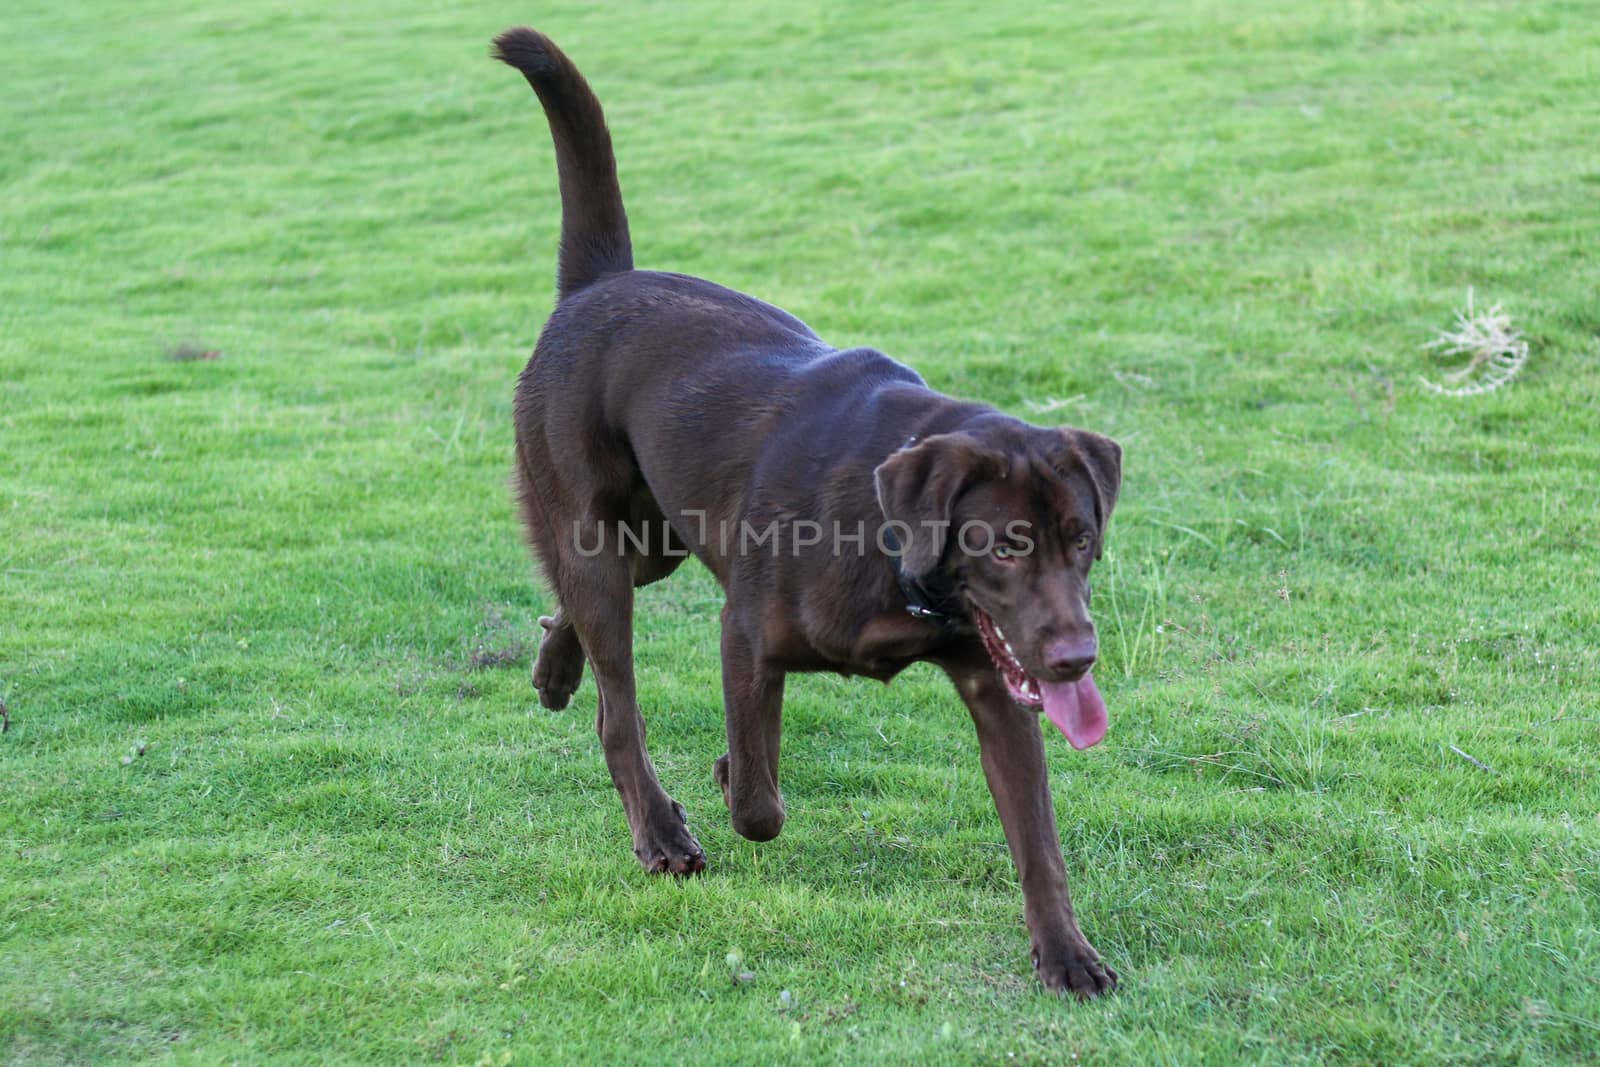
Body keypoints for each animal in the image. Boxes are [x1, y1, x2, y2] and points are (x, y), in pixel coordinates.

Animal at [492, 27, 1120, 1004]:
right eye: (1006, 545)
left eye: (1082, 541)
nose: (1076, 658)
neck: (897, 549)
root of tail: (597, 285)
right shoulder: (746, 633)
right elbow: (759, 801)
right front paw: (725, 779)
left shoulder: (998, 686)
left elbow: (1039, 841)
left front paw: (1065, 952)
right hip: (601, 535)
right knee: (616, 705)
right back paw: (659, 830)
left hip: (660, 535)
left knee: (577, 600)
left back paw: (556, 669)